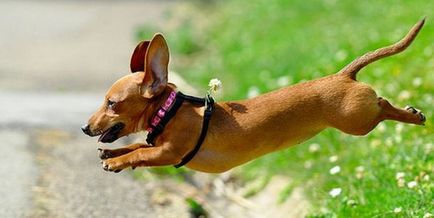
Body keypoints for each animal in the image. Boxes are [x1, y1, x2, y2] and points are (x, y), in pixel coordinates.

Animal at [83, 19, 426, 174]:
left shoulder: (168, 153)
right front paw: (113, 154)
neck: (169, 112)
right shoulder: (158, 146)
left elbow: (141, 153)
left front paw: (119, 161)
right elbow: (139, 145)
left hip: (357, 121)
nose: (86, 128)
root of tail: (343, 75)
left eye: (112, 103)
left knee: (383, 106)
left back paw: (411, 114)